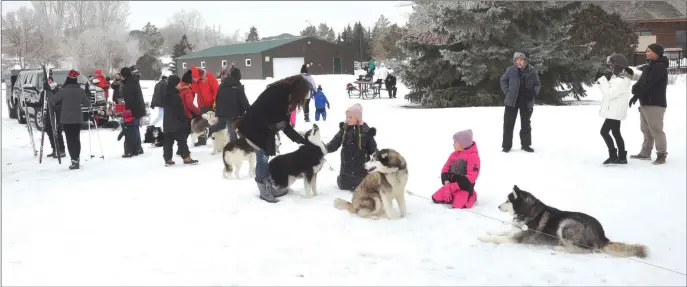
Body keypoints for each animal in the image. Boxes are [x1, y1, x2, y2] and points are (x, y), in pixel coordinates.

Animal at [482, 186, 648, 260]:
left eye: (507, 201)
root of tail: (602, 236)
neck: (527, 212)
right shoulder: (515, 230)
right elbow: (502, 231)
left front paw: (483, 238)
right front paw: (490, 231)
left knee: (584, 250)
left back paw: (559, 247)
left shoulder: (518, 238)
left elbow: (498, 238)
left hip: (567, 225)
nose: (498, 206)